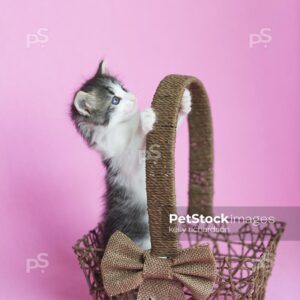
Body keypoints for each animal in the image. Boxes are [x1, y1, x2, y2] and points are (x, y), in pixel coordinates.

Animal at [71, 60, 191, 248]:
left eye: (123, 88)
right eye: (115, 100)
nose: (133, 97)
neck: (124, 126)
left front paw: (184, 102)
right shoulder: (122, 160)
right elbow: (136, 145)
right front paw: (145, 120)